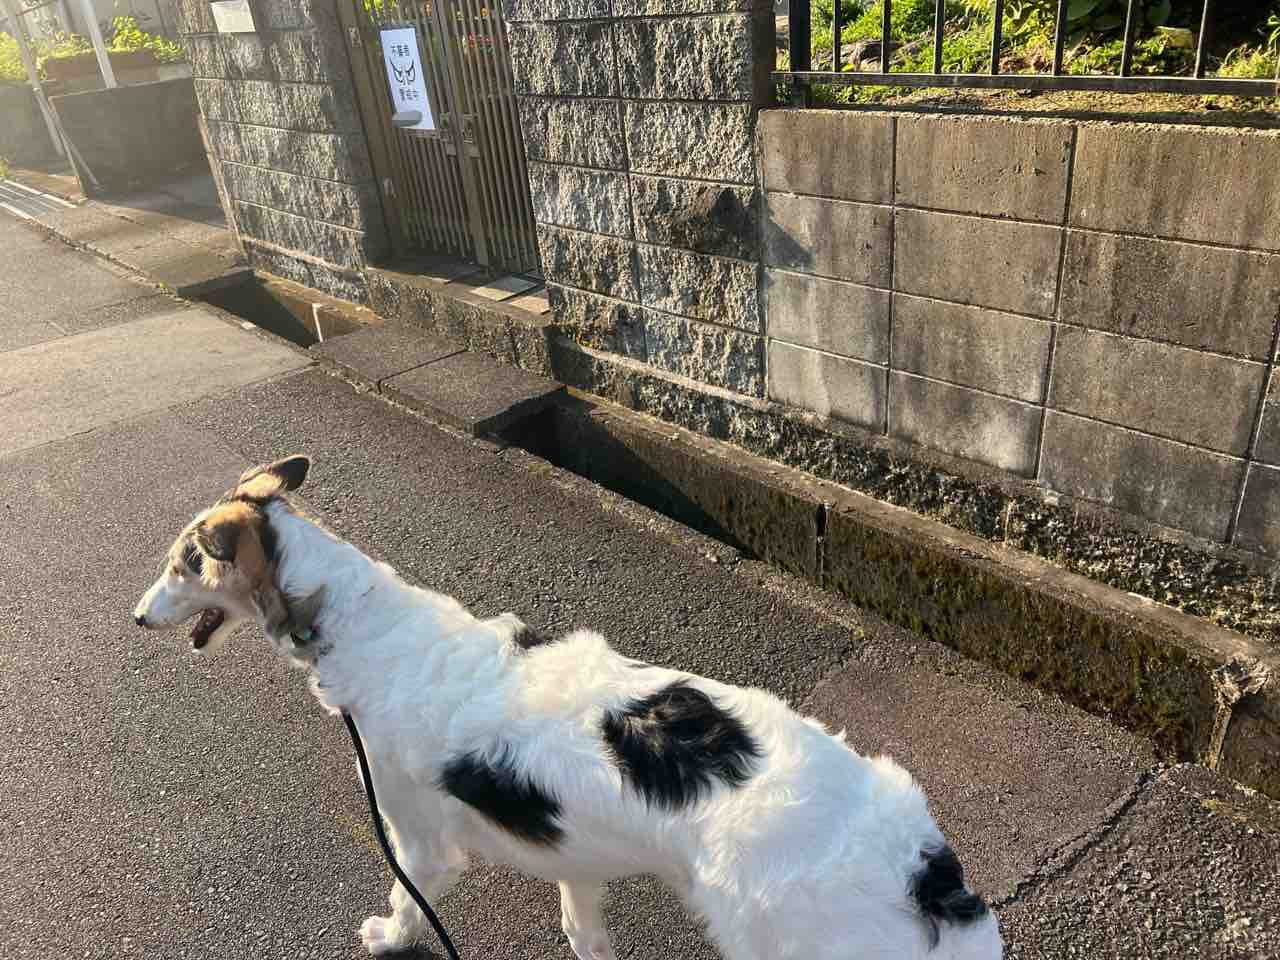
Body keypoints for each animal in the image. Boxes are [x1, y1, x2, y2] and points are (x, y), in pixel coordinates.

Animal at [134, 455, 1003, 960]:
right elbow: (583, 932)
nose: (137, 618)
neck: (359, 620)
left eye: (182, 565)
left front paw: (386, 936)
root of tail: (922, 870)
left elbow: (405, 900)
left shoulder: (419, 843)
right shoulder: (573, 860)